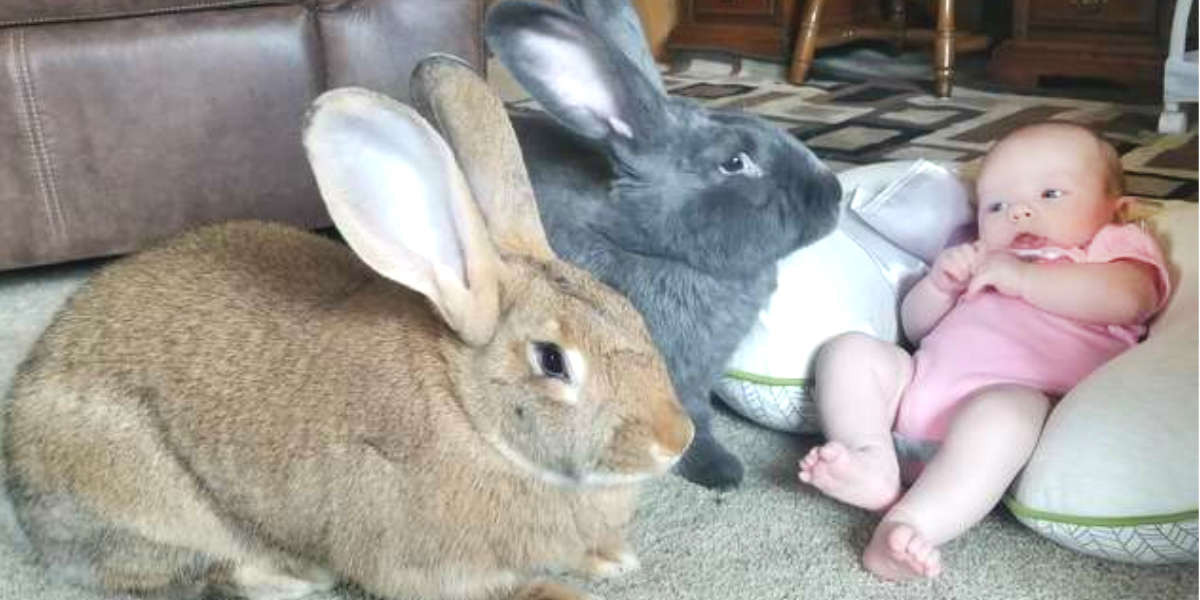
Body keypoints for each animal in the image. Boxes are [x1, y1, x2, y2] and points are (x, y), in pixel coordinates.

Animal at [4, 56, 696, 600]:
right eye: (552, 360)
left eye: (630, 311)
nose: (678, 437)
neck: (472, 414)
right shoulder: (427, 566)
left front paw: (611, 558)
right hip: (138, 496)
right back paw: (285, 579)